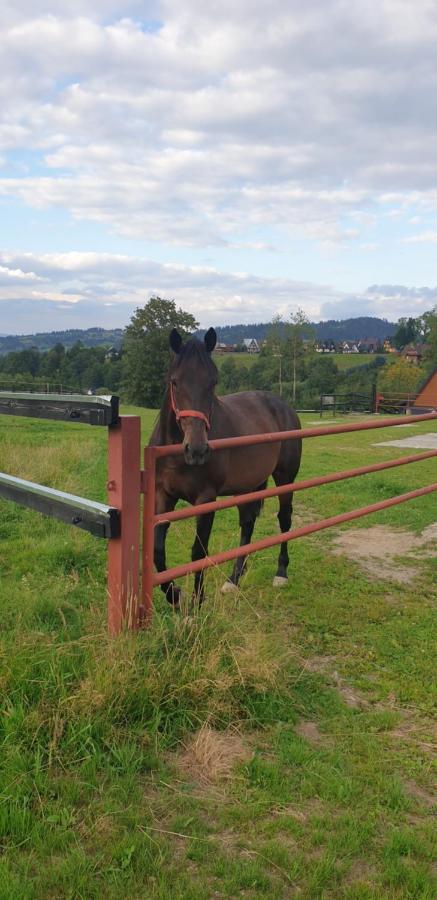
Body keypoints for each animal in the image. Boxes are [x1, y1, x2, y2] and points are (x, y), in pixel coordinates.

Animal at [148, 326, 302, 608]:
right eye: (174, 381)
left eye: (213, 382)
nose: (197, 450)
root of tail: (283, 406)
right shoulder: (163, 496)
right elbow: (157, 550)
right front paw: (175, 595)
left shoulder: (206, 500)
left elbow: (199, 551)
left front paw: (197, 603)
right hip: (247, 487)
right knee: (248, 524)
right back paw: (233, 580)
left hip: (285, 478)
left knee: (284, 520)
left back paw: (281, 574)